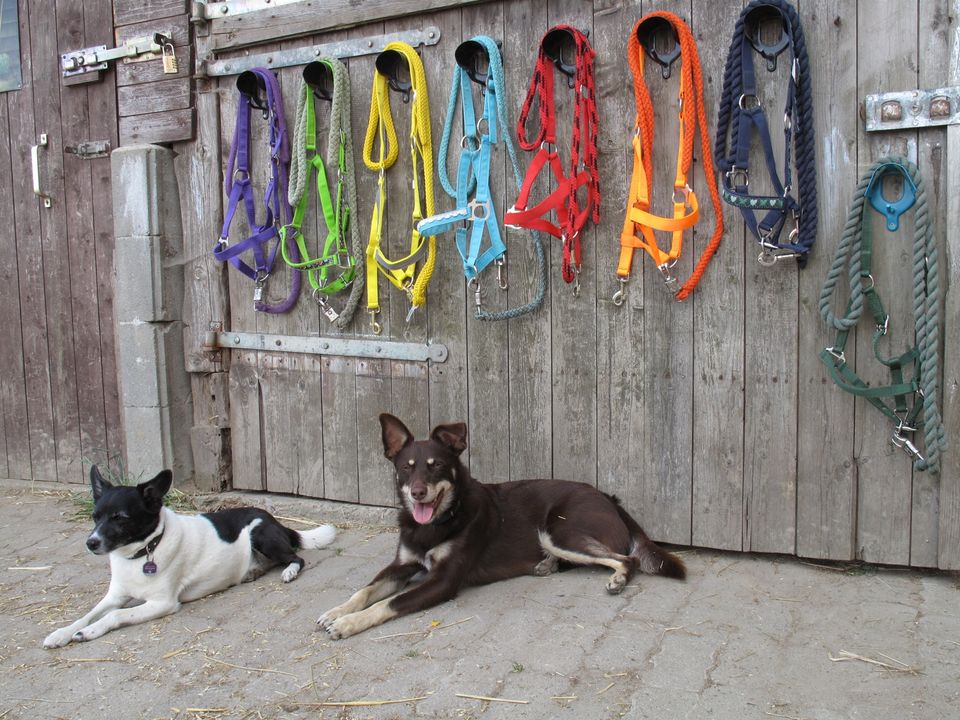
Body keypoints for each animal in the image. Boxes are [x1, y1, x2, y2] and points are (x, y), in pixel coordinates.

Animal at [44, 466, 338, 648]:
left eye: (120, 518)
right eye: (95, 517)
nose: (91, 543)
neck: (143, 553)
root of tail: (273, 519)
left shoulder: (163, 603)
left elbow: (115, 615)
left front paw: (90, 632)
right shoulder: (115, 595)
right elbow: (88, 614)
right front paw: (61, 633)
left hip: (261, 534)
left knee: (295, 558)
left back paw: (288, 571)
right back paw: (252, 571)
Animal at [318, 414, 688, 640]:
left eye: (436, 465)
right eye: (406, 467)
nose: (418, 492)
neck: (441, 520)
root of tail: (610, 499)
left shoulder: (443, 581)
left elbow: (389, 603)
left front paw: (348, 623)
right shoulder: (401, 565)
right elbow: (365, 591)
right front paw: (336, 611)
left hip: (558, 530)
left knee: (626, 558)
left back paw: (616, 578)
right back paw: (546, 565)